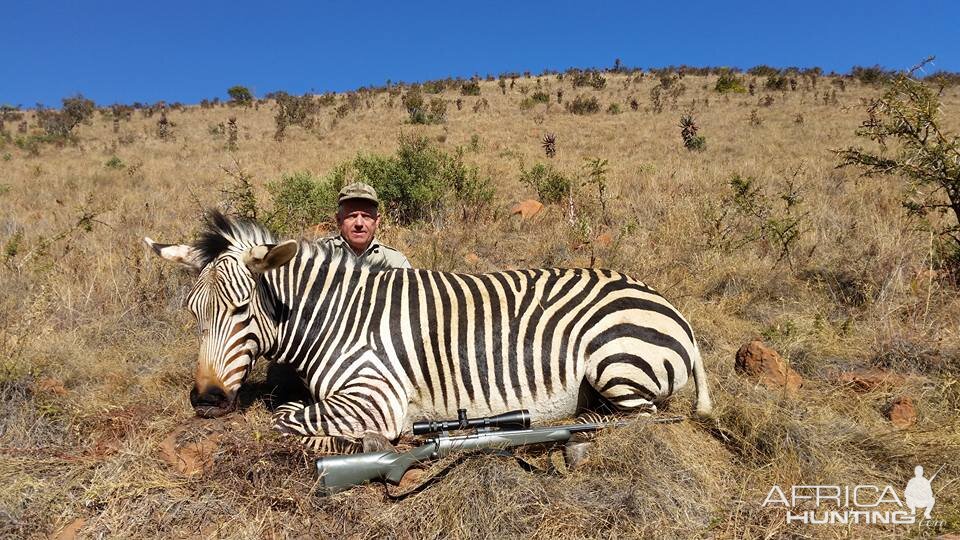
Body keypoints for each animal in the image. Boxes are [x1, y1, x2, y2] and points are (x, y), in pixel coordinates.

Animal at [144, 211, 712, 452]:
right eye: (193, 313)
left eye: (241, 309)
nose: (206, 401)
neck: (333, 317)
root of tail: (670, 308)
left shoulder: (374, 396)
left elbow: (285, 417)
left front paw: (372, 440)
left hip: (615, 364)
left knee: (640, 418)